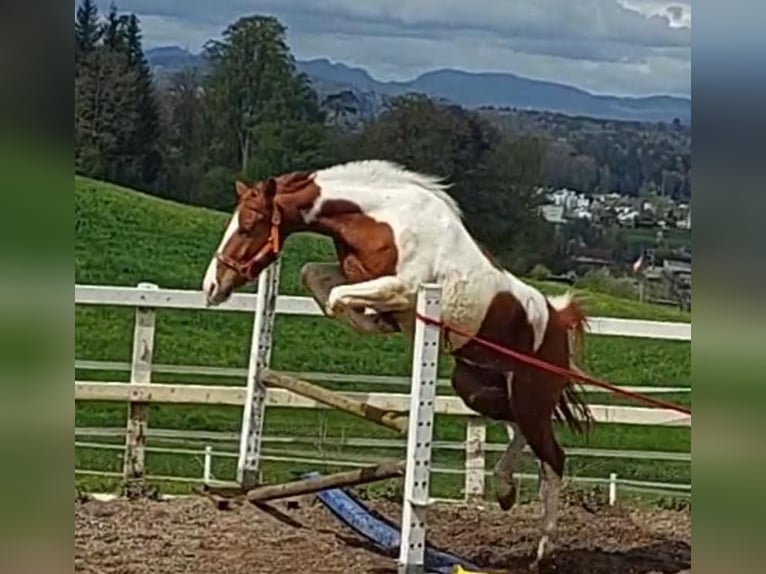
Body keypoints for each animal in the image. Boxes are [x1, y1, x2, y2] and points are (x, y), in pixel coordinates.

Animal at [202, 160, 592, 568]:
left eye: (249, 224)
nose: (211, 287)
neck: (381, 218)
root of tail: (558, 318)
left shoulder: (402, 288)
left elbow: (339, 297)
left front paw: (376, 319)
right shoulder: (353, 274)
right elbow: (316, 278)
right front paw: (373, 319)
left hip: (530, 396)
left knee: (553, 457)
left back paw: (542, 550)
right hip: (477, 387)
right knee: (520, 430)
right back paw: (504, 490)